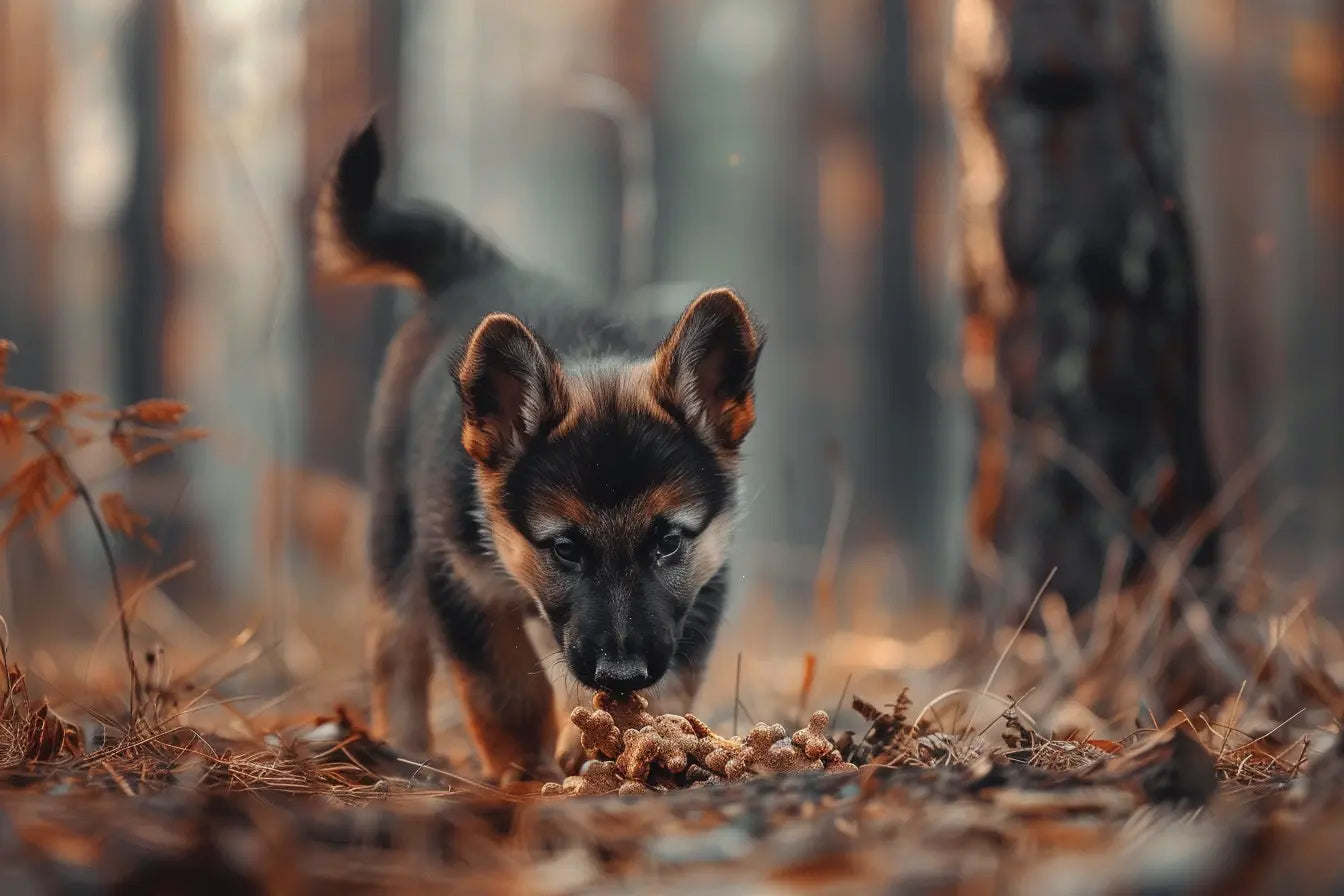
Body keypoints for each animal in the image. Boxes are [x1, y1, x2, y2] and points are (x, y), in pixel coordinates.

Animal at [307, 122, 763, 779]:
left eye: (669, 543)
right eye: (565, 548)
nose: (621, 672)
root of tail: (477, 267)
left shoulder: (702, 584)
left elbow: (668, 680)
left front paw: (632, 739)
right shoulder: (460, 582)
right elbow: (503, 688)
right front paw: (525, 769)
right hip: (394, 534)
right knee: (396, 648)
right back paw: (404, 751)